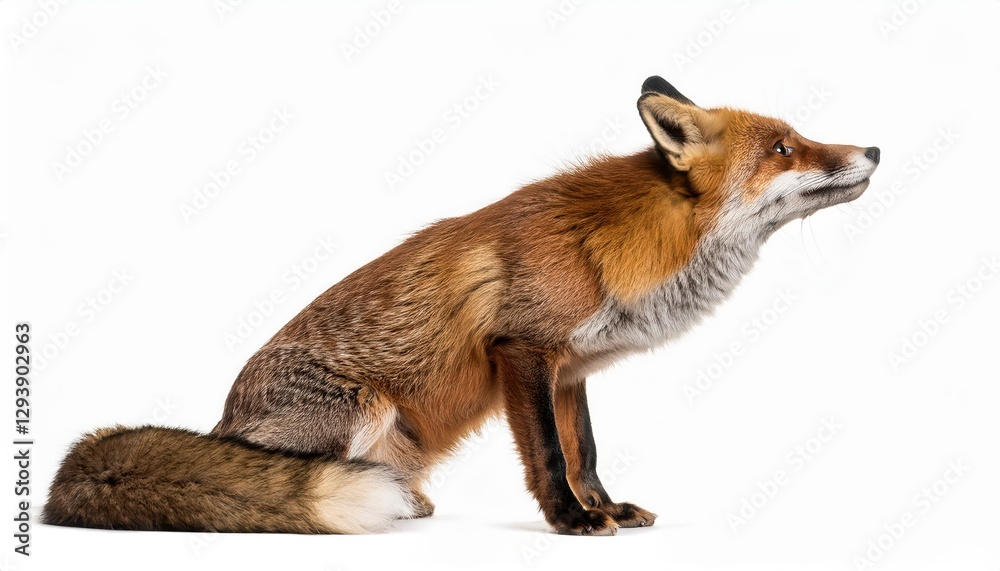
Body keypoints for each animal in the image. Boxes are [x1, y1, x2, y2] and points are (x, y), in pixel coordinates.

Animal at [44, 76, 879, 536]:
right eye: (784, 147)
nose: (872, 149)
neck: (635, 245)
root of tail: (223, 422)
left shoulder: (571, 370)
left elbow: (586, 452)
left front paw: (605, 507)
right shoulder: (522, 349)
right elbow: (549, 456)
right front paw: (571, 521)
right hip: (361, 409)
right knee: (280, 481)